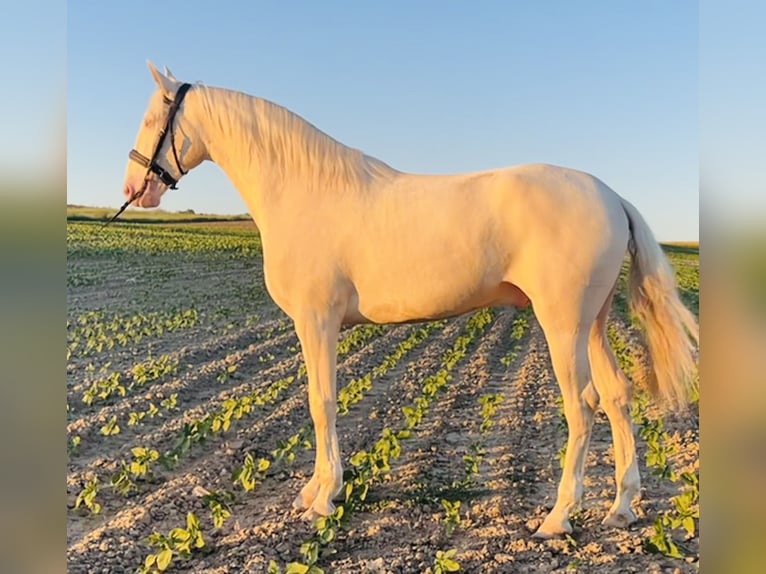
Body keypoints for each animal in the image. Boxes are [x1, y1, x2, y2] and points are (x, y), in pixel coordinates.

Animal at [121, 63, 704, 540]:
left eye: (152, 120)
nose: (133, 189)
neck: (305, 191)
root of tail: (611, 195)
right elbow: (321, 402)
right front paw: (316, 491)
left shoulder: (317, 321)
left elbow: (320, 402)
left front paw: (322, 499)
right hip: (593, 324)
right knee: (618, 397)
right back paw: (621, 508)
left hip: (562, 325)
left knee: (581, 407)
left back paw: (558, 518)